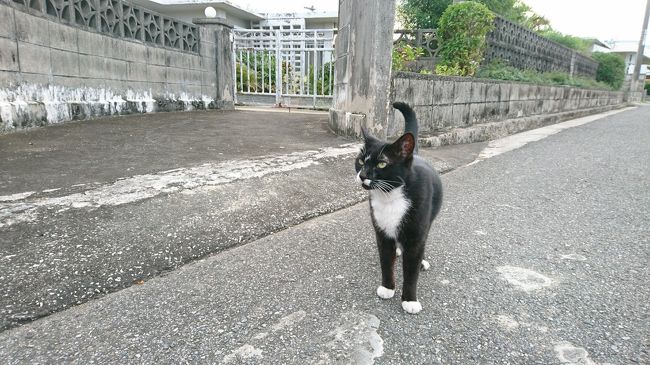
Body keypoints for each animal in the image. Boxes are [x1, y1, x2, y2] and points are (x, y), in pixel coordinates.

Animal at [354, 101, 440, 312]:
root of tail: (414, 153)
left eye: (382, 164)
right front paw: (387, 288)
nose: (363, 174)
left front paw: (410, 300)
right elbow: (386, 261)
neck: (390, 197)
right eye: (360, 161)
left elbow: (411, 271)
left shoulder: (417, 233)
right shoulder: (381, 231)